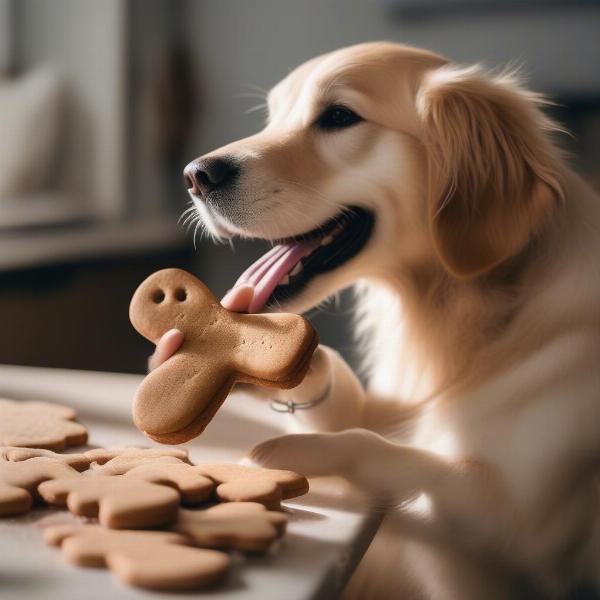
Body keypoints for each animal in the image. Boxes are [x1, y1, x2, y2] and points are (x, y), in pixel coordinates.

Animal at [155, 43, 600, 600]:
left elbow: (388, 451)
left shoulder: (527, 537)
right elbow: (347, 401)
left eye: (339, 117)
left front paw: (289, 450)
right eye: (273, 117)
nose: (196, 175)